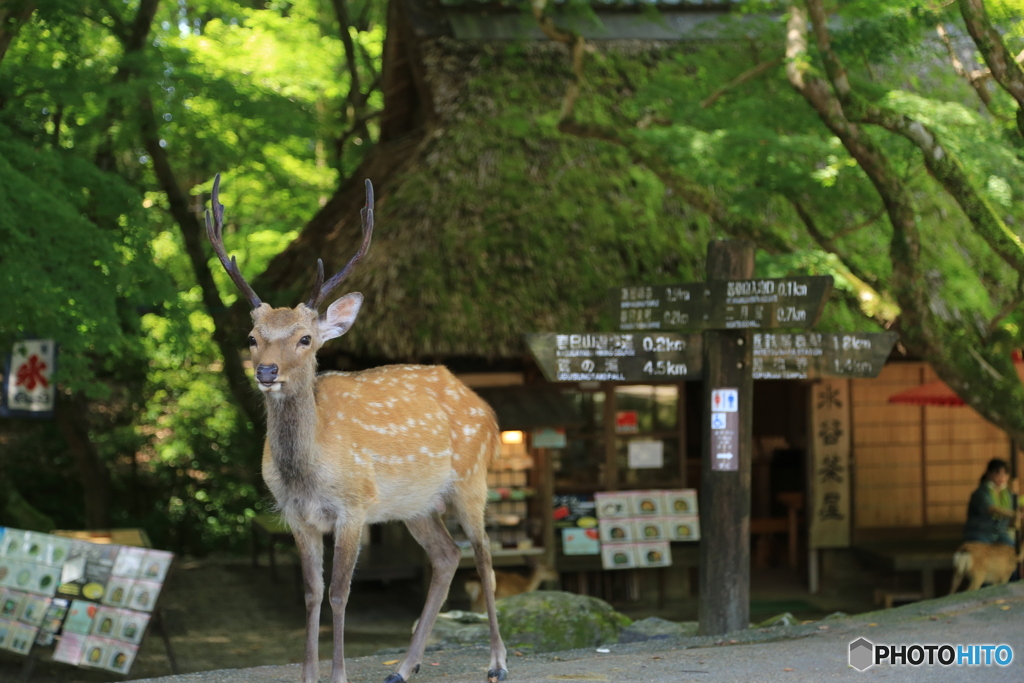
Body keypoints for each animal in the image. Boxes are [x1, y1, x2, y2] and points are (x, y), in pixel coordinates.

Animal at [206, 176, 507, 683]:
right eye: (252, 338)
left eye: (305, 338)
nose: (266, 371)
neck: (307, 472)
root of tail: (485, 406)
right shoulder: (296, 514)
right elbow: (310, 592)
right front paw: (308, 675)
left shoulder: (354, 506)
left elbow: (340, 592)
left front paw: (338, 675)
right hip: (415, 505)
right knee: (447, 556)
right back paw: (404, 666)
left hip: (472, 480)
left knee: (484, 557)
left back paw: (497, 662)